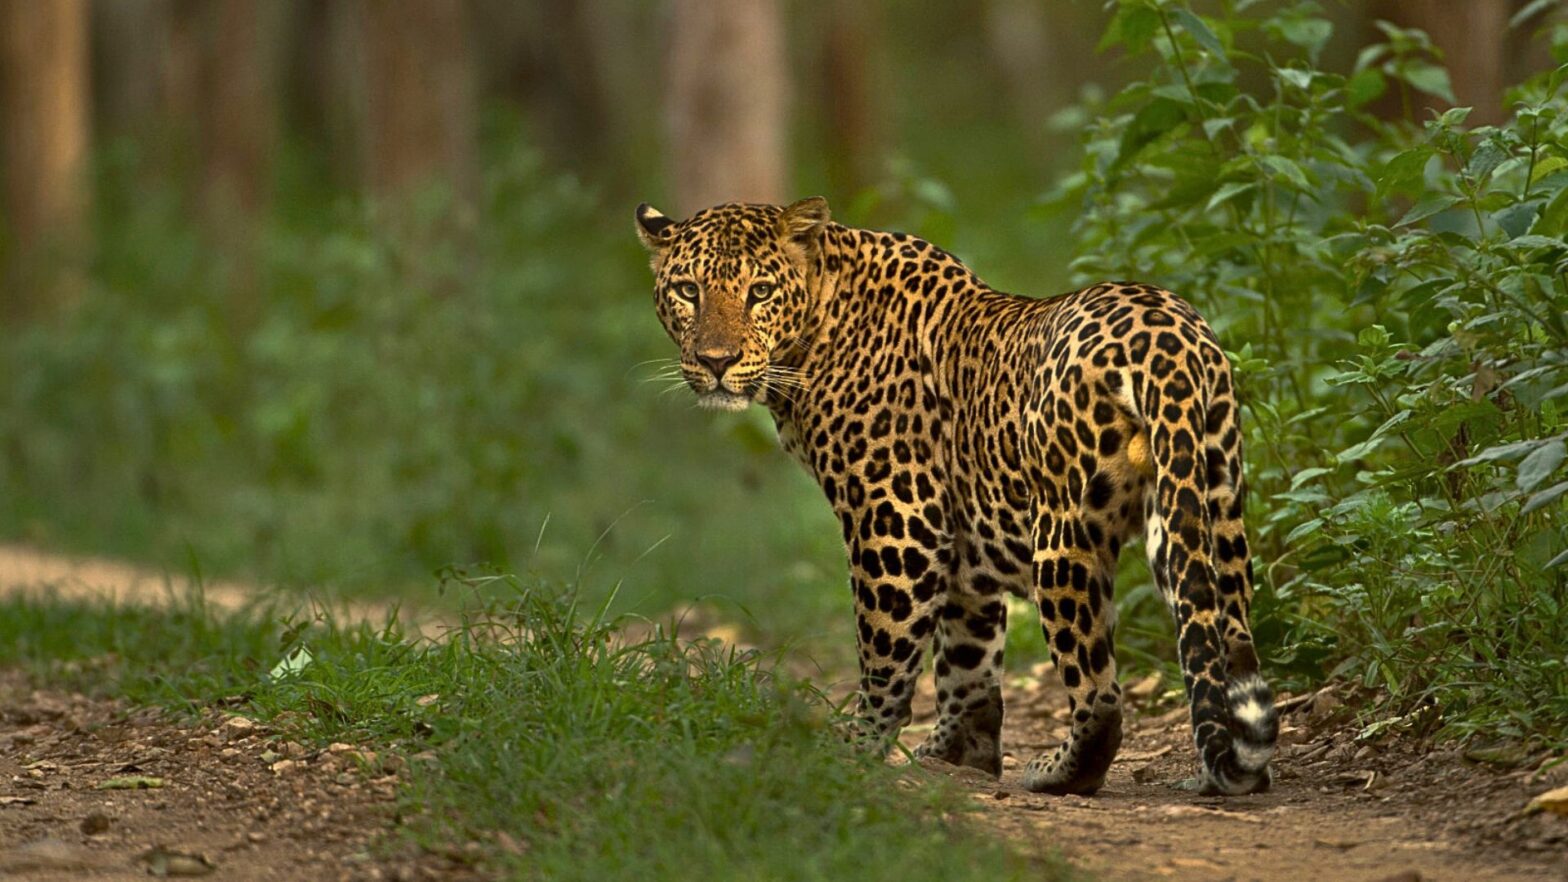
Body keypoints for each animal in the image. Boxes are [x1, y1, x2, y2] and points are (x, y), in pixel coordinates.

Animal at [633, 195, 1273, 794]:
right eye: (688, 291)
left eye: (760, 292)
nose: (716, 362)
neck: (818, 327)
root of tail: (1169, 340)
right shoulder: (966, 543)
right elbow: (967, 655)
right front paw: (959, 754)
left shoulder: (897, 520)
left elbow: (886, 650)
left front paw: (858, 751)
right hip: (1208, 505)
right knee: (1224, 635)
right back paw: (1232, 769)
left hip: (1064, 534)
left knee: (1100, 692)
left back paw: (1060, 772)